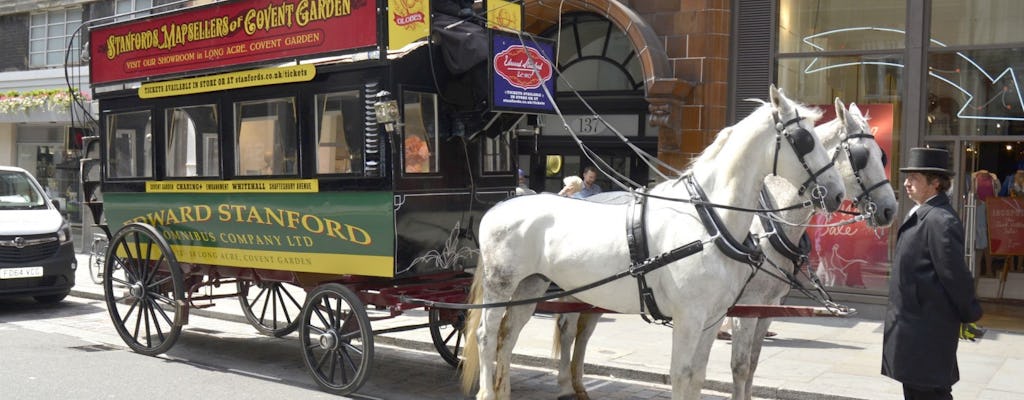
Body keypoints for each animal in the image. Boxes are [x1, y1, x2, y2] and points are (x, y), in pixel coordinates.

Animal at [460, 85, 846, 400]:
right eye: (805, 139)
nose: (837, 193)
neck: (708, 222)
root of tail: (502, 205)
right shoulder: (689, 317)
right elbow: (682, 375)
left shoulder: (712, 318)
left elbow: (697, 377)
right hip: (501, 284)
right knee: (486, 335)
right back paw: (488, 392)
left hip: (531, 286)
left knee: (508, 335)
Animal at [549, 99, 897, 400]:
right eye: (861, 156)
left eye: (883, 156)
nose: (889, 210)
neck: (766, 220)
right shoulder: (746, 306)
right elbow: (740, 365)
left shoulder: (768, 306)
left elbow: (752, 363)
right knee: (567, 329)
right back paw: (566, 384)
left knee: (583, 330)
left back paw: (578, 384)